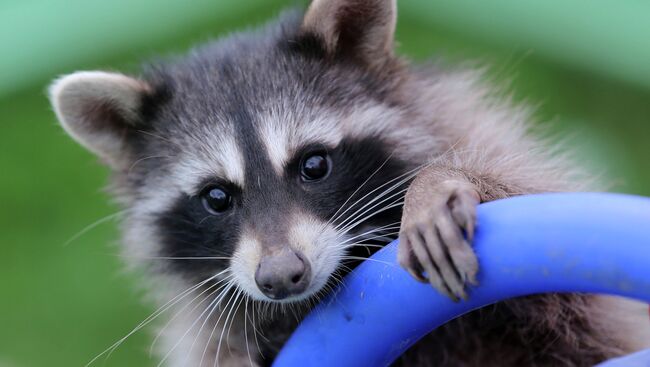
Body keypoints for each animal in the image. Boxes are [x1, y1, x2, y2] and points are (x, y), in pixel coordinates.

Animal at [48, 0, 644, 367]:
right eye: (217, 197)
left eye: (313, 165)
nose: (281, 276)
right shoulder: (209, 321)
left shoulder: (471, 127)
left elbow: (565, 263)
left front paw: (442, 182)